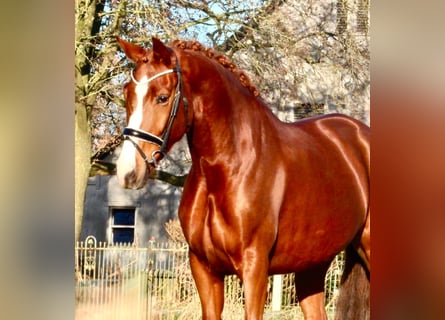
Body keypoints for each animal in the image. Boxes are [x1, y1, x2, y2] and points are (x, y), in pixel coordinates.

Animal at [116, 36, 370, 318]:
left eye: (162, 97)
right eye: (127, 94)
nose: (128, 171)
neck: (229, 167)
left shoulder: (254, 268)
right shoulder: (204, 268)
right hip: (312, 264)